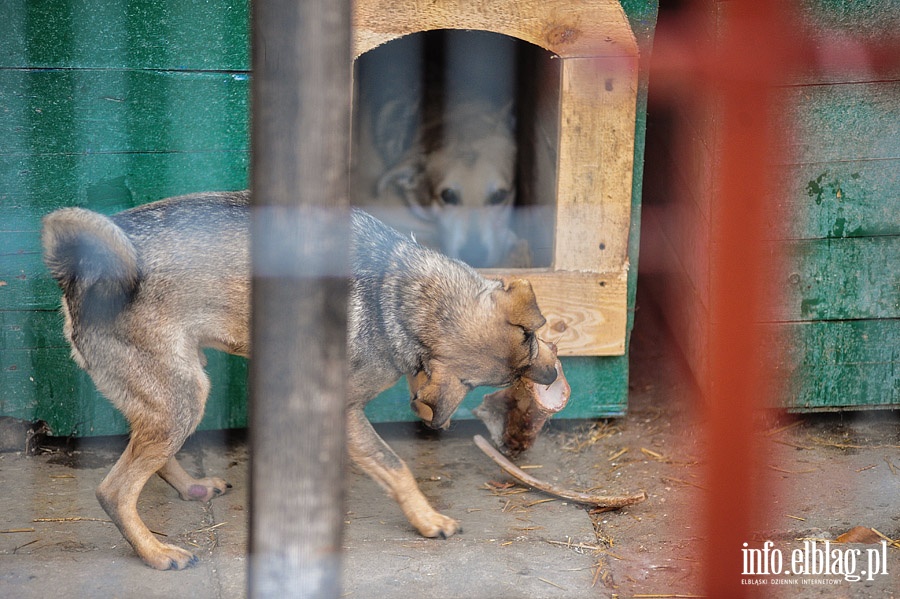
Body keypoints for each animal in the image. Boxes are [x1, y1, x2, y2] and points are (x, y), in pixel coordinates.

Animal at [44, 192, 564, 572]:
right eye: (531, 340)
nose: (552, 374)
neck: (398, 294)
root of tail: (79, 276)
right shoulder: (347, 412)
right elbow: (395, 466)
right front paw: (429, 520)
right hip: (183, 397)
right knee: (115, 491)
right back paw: (155, 554)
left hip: (180, 391)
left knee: (151, 458)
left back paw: (191, 488)